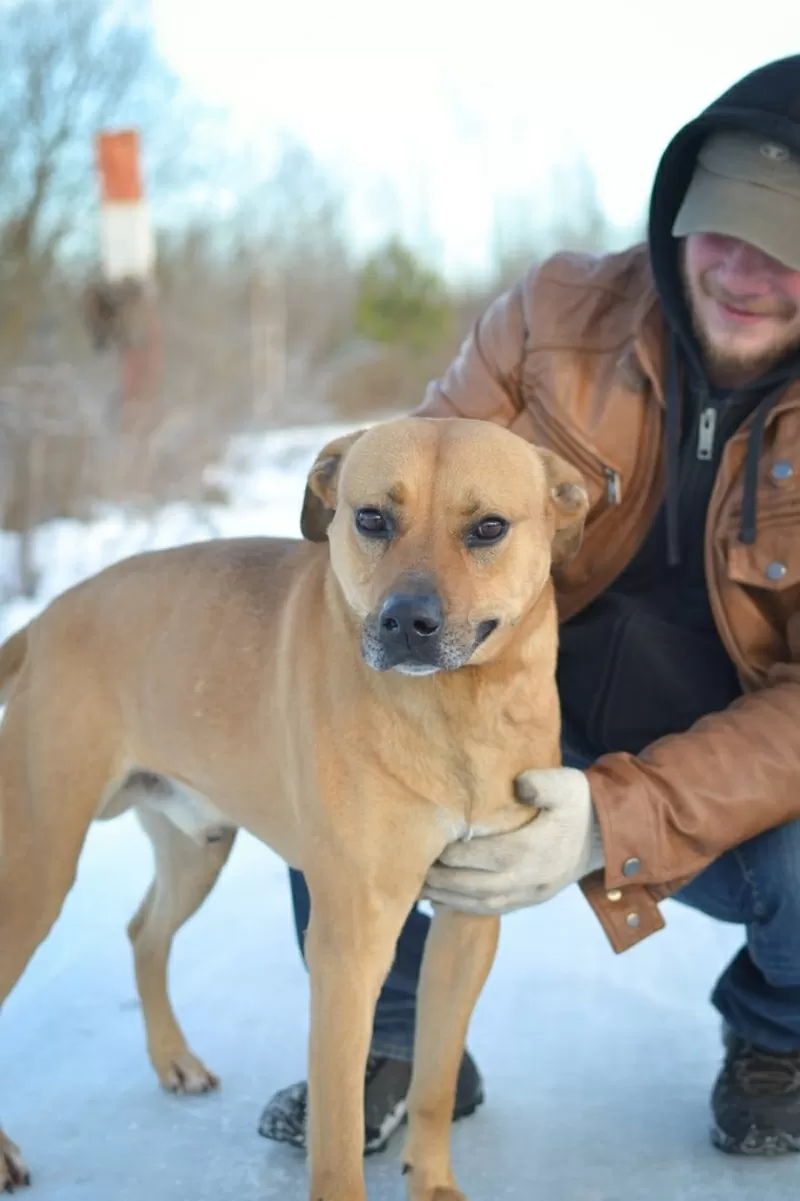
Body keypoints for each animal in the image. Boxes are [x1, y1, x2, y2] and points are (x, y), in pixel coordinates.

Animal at [0, 415, 586, 1201]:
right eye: (371, 517)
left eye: (489, 527)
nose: (408, 621)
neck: (454, 710)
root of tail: (48, 617)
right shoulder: (350, 943)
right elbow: (336, 1134)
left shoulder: (470, 920)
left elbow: (433, 1082)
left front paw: (432, 1181)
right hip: (37, 868)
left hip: (197, 849)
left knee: (144, 932)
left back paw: (173, 1059)